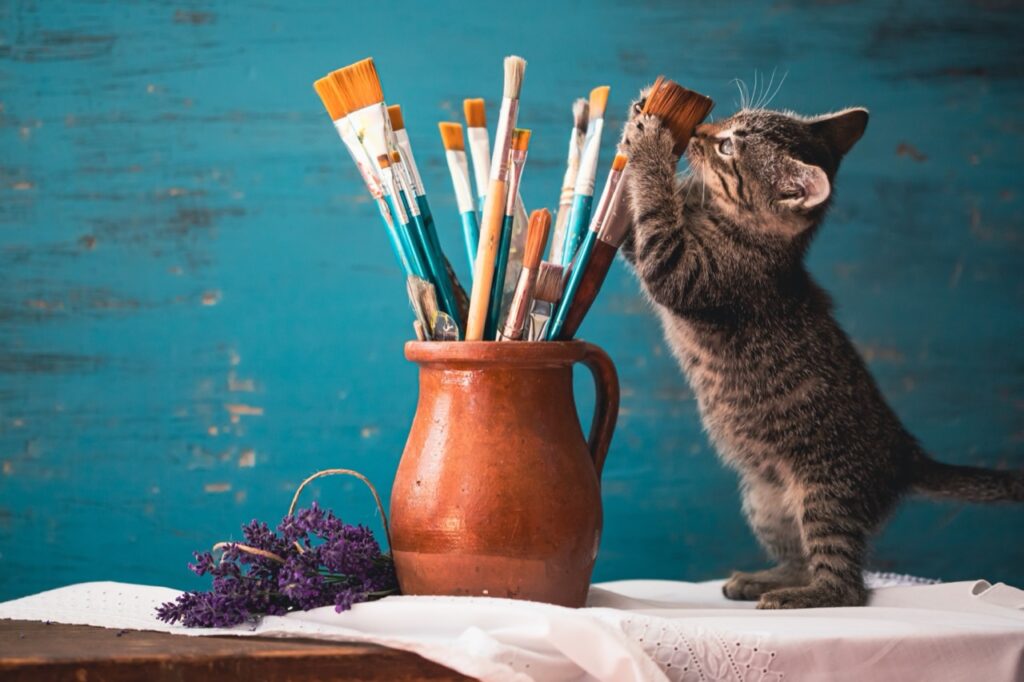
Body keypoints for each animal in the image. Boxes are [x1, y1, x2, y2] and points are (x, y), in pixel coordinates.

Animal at [614, 94, 1024, 606]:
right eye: (730, 119)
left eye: (727, 146)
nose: (699, 132)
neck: (737, 226)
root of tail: (905, 454)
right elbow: (635, 226)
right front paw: (636, 127)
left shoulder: (684, 271)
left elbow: (654, 212)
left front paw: (649, 145)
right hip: (766, 500)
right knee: (800, 557)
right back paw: (764, 580)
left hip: (826, 495)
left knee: (847, 583)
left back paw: (800, 595)